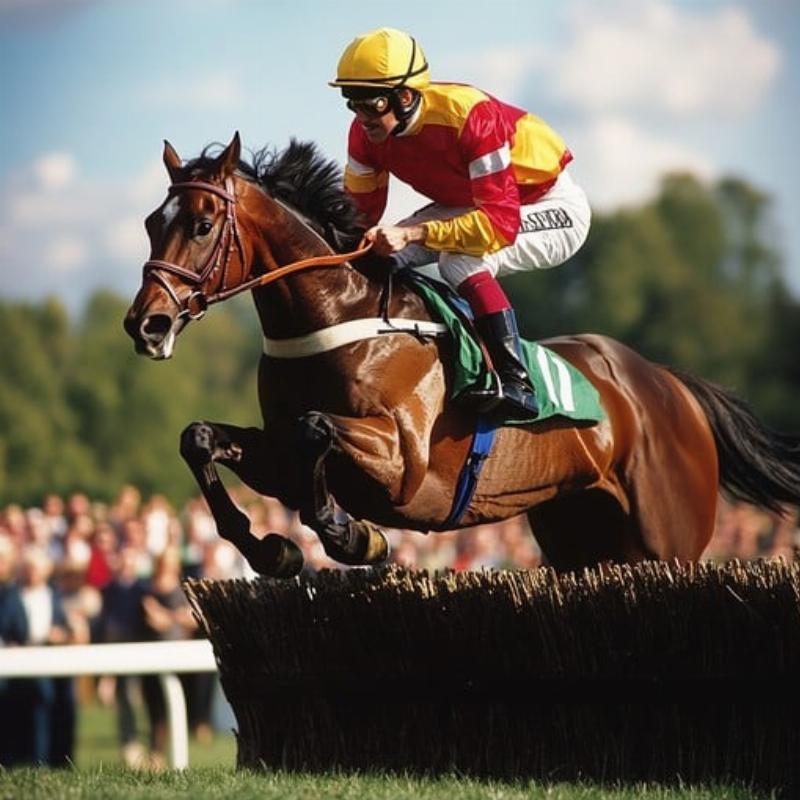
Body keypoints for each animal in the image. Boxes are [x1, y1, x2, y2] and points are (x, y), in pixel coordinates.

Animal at [123, 133, 800, 577]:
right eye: (153, 222)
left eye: (203, 224)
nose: (145, 324)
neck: (339, 319)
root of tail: (668, 383)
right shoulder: (279, 458)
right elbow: (199, 438)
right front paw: (271, 546)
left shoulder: (405, 465)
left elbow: (317, 428)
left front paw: (351, 535)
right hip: (578, 536)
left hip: (669, 537)